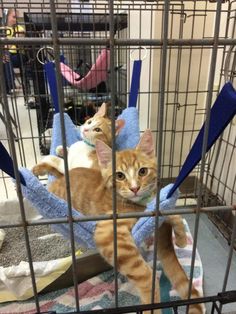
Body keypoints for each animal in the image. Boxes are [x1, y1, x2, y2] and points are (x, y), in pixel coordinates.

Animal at [33, 129, 205, 312]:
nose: (135, 188)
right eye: (120, 175)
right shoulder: (110, 230)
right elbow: (145, 276)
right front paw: (151, 303)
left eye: (142, 171)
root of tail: (60, 179)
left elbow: (171, 213)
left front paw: (180, 239)